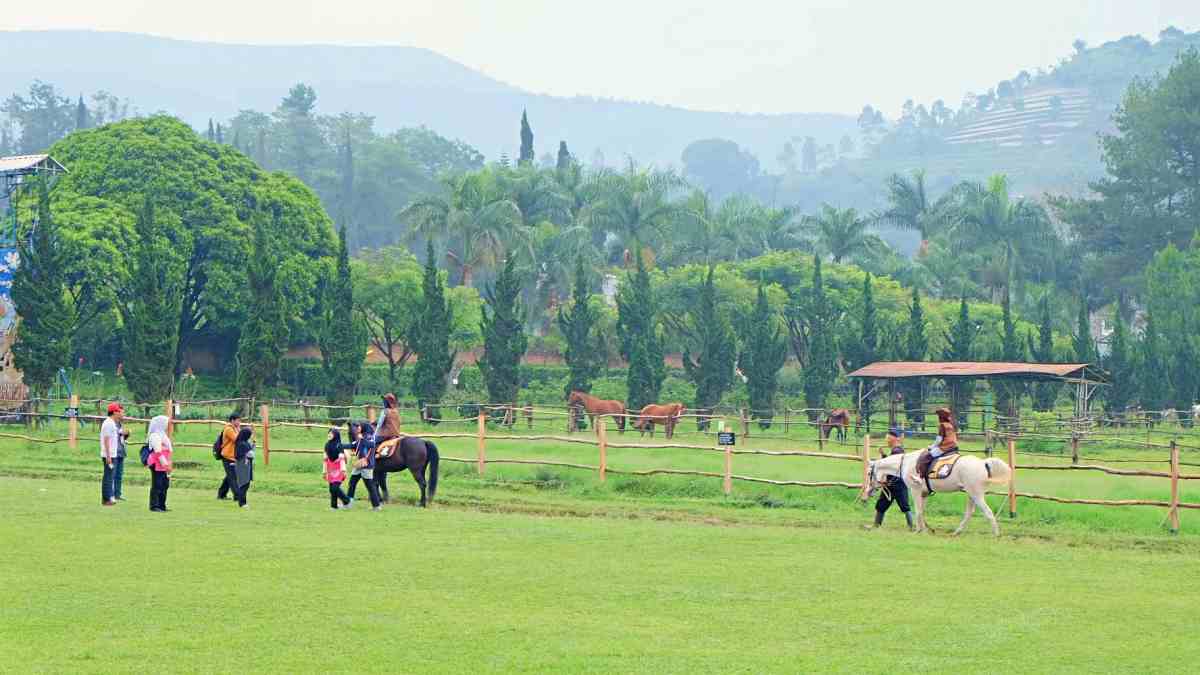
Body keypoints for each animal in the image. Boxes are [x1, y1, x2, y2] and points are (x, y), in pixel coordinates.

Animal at [868, 451, 1008, 535]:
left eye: (869, 473)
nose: (868, 491)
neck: (906, 463)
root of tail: (983, 462)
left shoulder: (915, 490)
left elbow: (918, 511)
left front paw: (918, 530)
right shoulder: (924, 493)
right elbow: (921, 511)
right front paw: (925, 529)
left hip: (976, 495)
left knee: (988, 512)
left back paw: (996, 534)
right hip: (971, 495)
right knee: (969, 513)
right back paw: (957, 532)